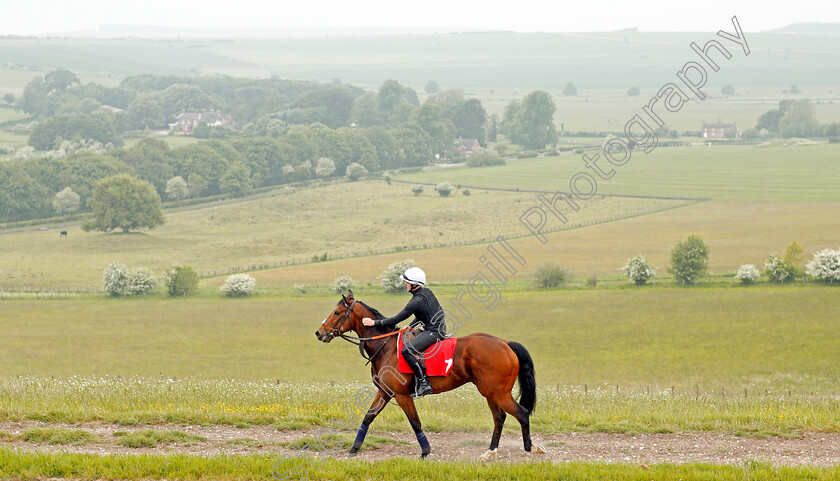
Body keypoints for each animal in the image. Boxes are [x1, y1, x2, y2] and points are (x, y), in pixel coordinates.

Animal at [312, 288, 540, 458]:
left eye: (337, 313)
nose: (319, 333)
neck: (384, 346)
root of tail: (505, 343)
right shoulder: (384, 392)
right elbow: (368, 418)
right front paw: (354, 449)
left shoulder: (402, 395)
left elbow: (415, 422)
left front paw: (425, 451)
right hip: (490, 392)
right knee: (499, 418)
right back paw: (491, 451)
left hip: (498, 393)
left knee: (521, 414)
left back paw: (530, 447)